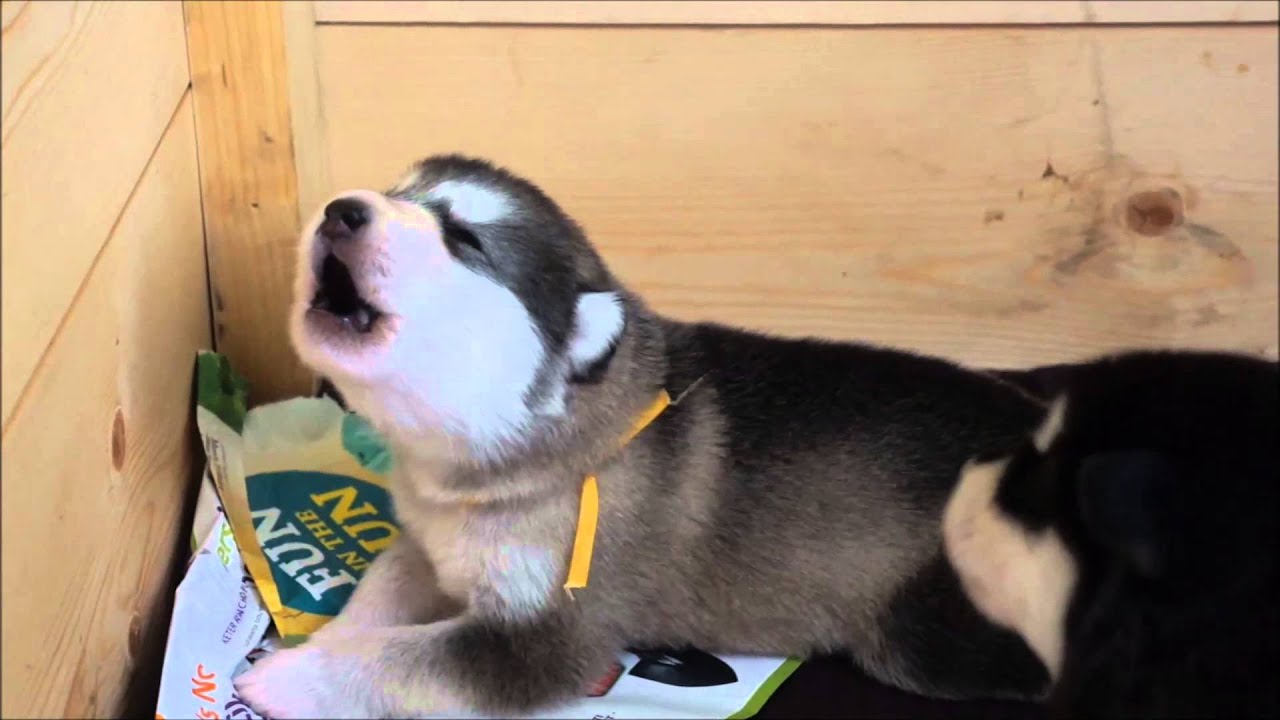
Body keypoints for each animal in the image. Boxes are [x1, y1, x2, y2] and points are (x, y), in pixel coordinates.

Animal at [232, 154, 1049, 712]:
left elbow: (401, 659)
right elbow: (380, 589)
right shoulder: (430, 547)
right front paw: (321, 637)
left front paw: (282, 676)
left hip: (924, 631)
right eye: (399, 191)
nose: (341, 209)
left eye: (463, 237)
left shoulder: (551, 634)